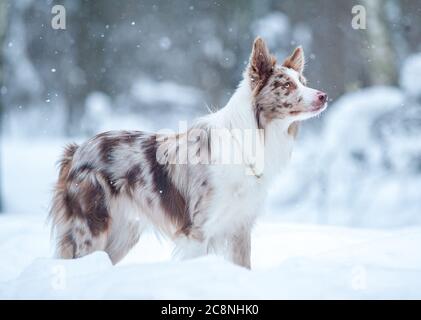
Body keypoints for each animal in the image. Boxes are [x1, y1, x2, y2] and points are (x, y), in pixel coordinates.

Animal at [48, 37, 324, 268]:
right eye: (287, 85)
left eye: (304, 82)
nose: (324, 95)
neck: (256, 134)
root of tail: (76, 150)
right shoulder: (198, 230)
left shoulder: (240, 227)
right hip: (90, 229)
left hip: (123, 234)